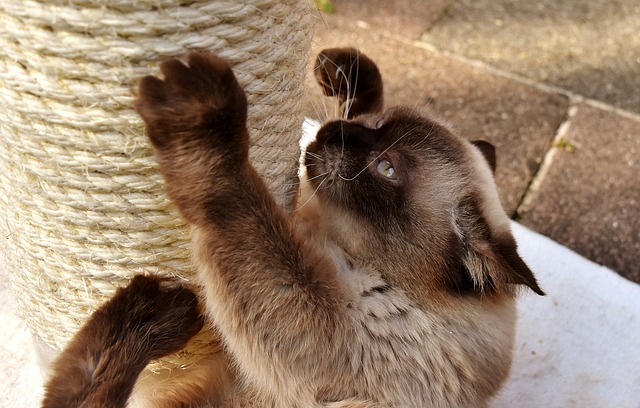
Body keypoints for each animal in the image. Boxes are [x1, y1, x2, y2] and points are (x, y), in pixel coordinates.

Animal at [41, 48, 540, 408]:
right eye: (375, 127)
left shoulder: (312, 321)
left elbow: (237, 201)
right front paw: (343, 72)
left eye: (387, 168)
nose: (332, 131)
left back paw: (159, 314)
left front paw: (203, 121)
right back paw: (150, 316)